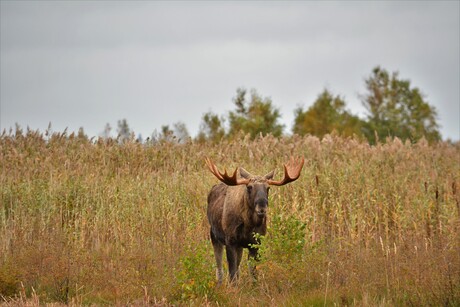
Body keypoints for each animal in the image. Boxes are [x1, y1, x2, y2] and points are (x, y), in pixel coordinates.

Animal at [206, 158, 306, 286]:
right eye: (249, 187)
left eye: (268, 188)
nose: (262, 208)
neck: (248, 225)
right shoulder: (230, 240)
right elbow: (232, 273)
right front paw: (233, 288)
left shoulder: (256, 243)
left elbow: (253, 272)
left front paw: (254, 287)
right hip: (214, 235)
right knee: (219, 267)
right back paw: (219, 285)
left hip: (238, 245)